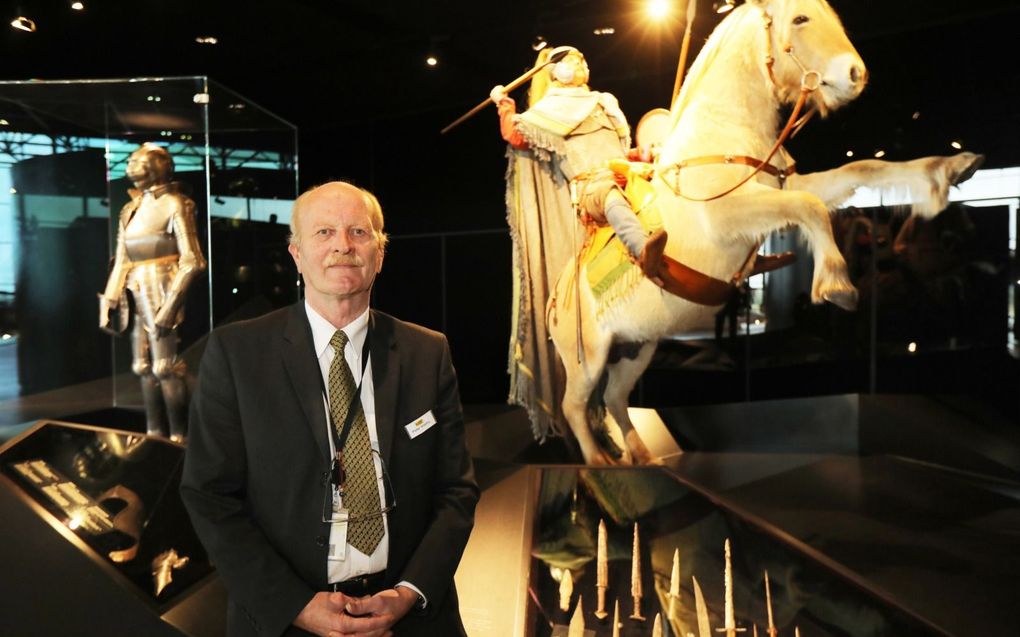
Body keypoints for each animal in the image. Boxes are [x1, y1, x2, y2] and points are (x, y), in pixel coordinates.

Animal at [546, 0, 983, 462]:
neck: (721, 139)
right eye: (800, 19)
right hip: (588, 360)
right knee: (575, 406)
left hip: (637, 348)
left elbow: (860, 170)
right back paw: (598, 461)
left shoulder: (785, 186)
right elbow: (810, 208)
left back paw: (640, 457)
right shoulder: (728, 215)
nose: (855, 74)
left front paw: (949, 169)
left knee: (615, 397)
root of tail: (554, 301)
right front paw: (837, 284)